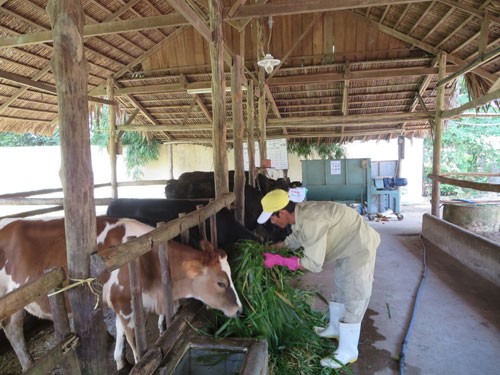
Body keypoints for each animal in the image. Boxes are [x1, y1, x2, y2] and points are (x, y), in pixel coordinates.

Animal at [0, 217, 242, 374]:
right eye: (221, 283)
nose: (239, 310)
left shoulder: (121, 303)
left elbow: (119, 331)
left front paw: (120, 360)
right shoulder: (124, 302)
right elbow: (133, 339)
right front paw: (133, 361)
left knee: (13, 331)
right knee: (13, 332)